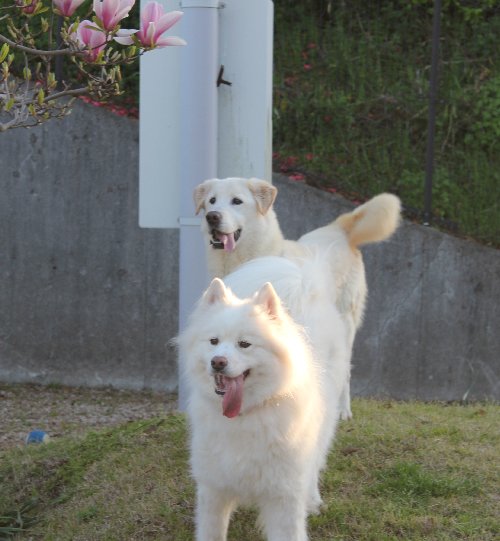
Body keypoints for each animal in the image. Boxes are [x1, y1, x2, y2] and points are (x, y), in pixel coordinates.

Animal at [193, 177, 400, 418]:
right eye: (212, 201)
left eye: (237, 201)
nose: (212, 216)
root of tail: (339, 229)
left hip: (345, 324)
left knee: (345, 370)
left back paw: (342, 409)